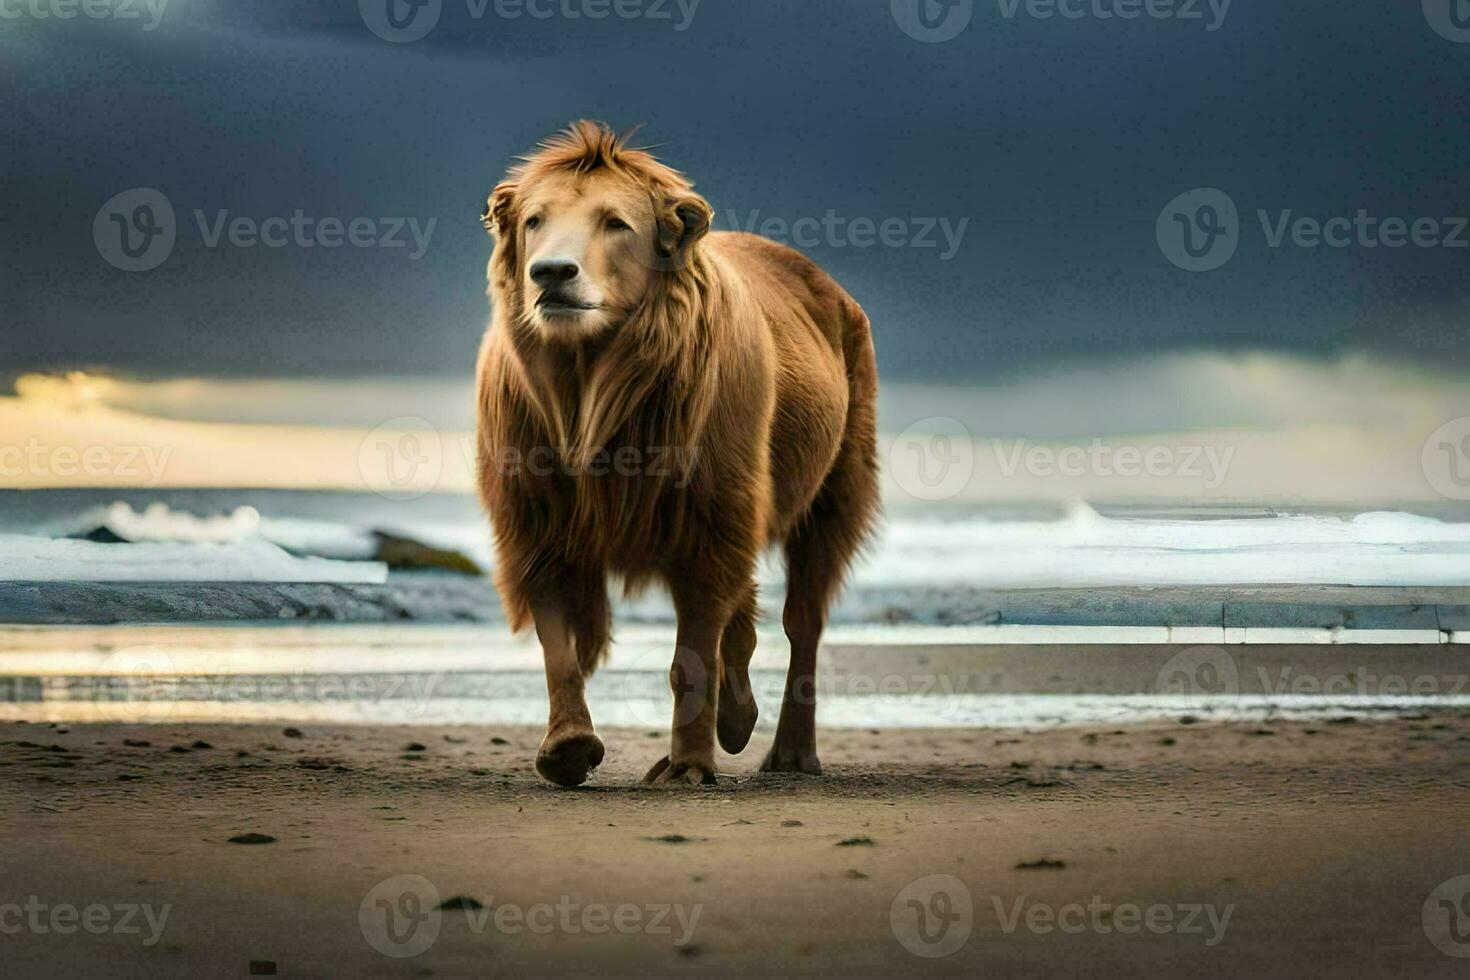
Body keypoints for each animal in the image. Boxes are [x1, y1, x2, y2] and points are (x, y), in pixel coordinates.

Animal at [476, 122, 876, 787]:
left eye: (616, 222)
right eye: (535, 220)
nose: (551, 272)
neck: (591, 383)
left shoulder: (709, 509)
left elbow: (693, 652)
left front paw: (690, 764)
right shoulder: (538, 512)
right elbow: (559, 640)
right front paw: (568, 748)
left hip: (833, 487)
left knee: (803, 620)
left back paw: (790, 754)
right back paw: (736, 723)